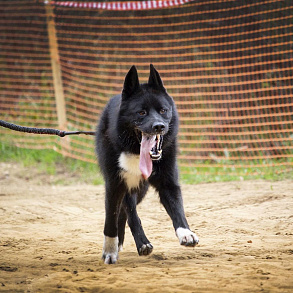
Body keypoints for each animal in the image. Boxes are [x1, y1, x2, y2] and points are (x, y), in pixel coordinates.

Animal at [96, 65, 198, 264]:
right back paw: (139, 243)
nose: (159, 126)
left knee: (125, 212)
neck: (137, 152)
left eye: (163, 110)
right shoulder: (115, 184)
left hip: (140, 190)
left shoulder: (168, 183)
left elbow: (177, 209)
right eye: (141, 112)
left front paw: (186, 233)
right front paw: (110, 251)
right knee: (128, 213)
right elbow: (111, 218)